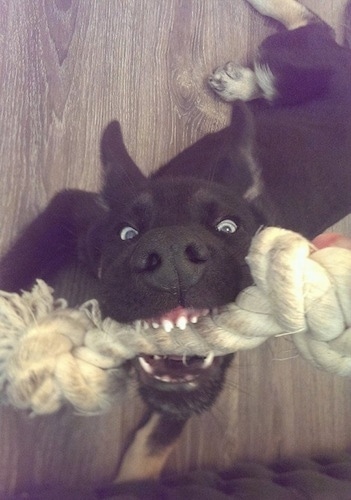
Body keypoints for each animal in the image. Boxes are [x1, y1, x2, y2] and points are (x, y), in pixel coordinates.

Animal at [0, 0, 351, 484]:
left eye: (229, 229)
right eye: (127, 234)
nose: (172, 261)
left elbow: (156, 440)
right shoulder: (73, 212)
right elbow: (15, 268)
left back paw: (239, 82)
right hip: (294, 65)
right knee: (308, 31)